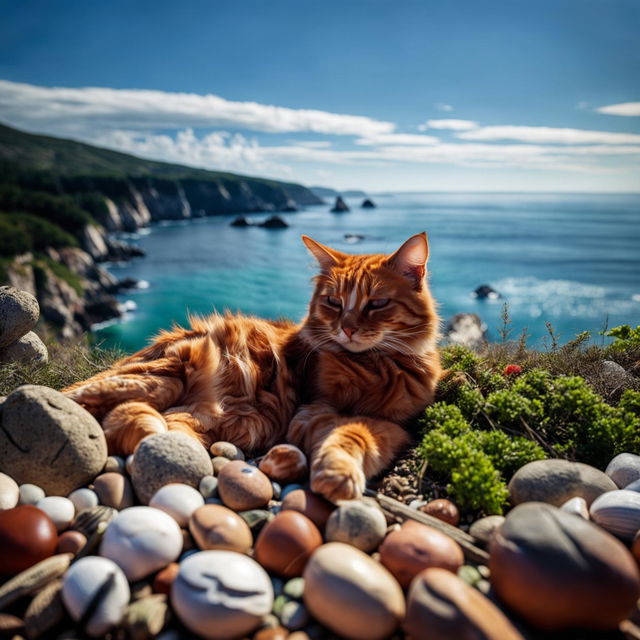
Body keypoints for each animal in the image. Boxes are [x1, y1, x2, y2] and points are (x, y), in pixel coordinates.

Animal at [65, 232, 440, 502]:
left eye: (377, 303)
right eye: (333, 302)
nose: (346, 328)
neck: (377, 365)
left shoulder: (395, 426)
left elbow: (353, 435)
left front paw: (337, 473)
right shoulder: (311, 412)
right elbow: (351, 431)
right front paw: (338, 476)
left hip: (189, 416)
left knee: (130, 422)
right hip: (164, 376)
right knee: (83, 398)